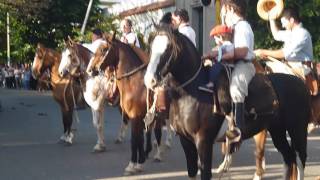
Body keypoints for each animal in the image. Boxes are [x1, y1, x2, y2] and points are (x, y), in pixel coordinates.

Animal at [85, 33, 170, 175]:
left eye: (103, 49)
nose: (90, 70)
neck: (134, 83)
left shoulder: (135, 117)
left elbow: (134, 140)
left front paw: (132, 165)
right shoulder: (139, 117)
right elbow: (139, 139)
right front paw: (139, 163)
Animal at [143, 24, 310, 179]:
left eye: (168, 48)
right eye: (151, 47)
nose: (150, 80)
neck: (192, 92)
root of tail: (300, 82)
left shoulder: (203, 142)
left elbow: (205, 173)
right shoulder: (186, 141)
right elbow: (192, 172)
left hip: (297, 131)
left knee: (300, 160)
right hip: (277, 130)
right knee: (289, 158)